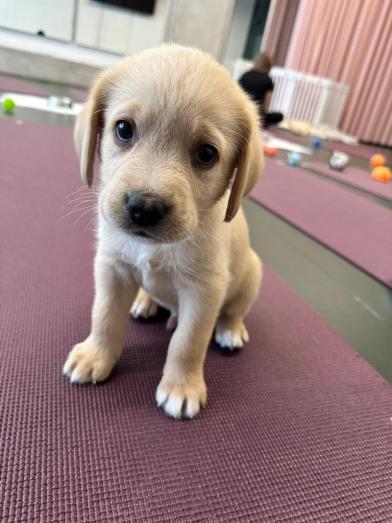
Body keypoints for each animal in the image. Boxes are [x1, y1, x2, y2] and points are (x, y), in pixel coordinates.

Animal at [63, 43, 264, 420]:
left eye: (206, 153)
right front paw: (96, 355)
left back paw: (230, 329)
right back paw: (145, 301)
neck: (155, 248)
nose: (144, 208)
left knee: (233, 311)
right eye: (123, 129)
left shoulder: (204, 290)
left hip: (252, 274)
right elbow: (104, 316)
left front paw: (181, 387)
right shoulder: (112, 268)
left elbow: (187, 342)